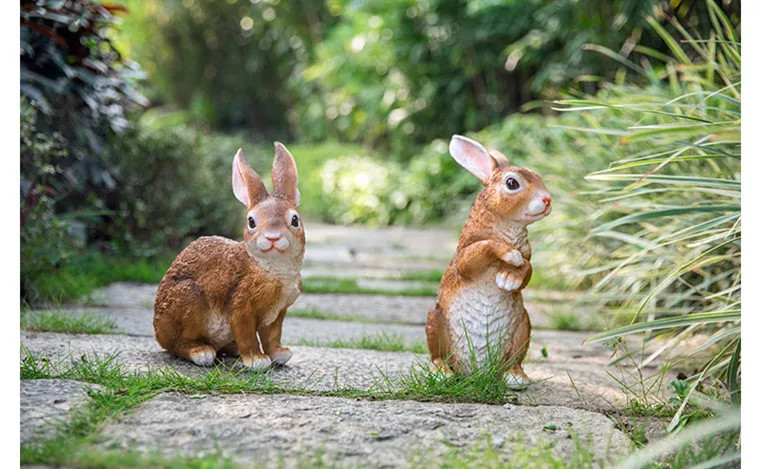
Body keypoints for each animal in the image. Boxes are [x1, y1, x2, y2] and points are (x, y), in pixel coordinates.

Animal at [153, 143, 304, 370]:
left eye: (294, 220)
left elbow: (272, 337)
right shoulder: (242, 306)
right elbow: (247, 333)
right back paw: (202, 352)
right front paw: (257, 361)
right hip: (190, 301)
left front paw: (280, 355)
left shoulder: (276, 314)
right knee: (179, 344)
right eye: (251, 222)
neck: (272, 266)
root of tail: (158, 331)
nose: (273, 237)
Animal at [428, 134, 552, 388]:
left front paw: (508, 279)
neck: (506, 224)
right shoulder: (465, 255)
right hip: (434, 322)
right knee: (437, 355)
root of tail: (476, 373)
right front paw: (509, 255)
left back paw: (515, 378)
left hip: (523, 327)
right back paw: (442, 374)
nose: (547, 199)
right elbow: (483, 248)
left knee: (515, 359)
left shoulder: (528, 256)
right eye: (512, 183)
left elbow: (527, 269)